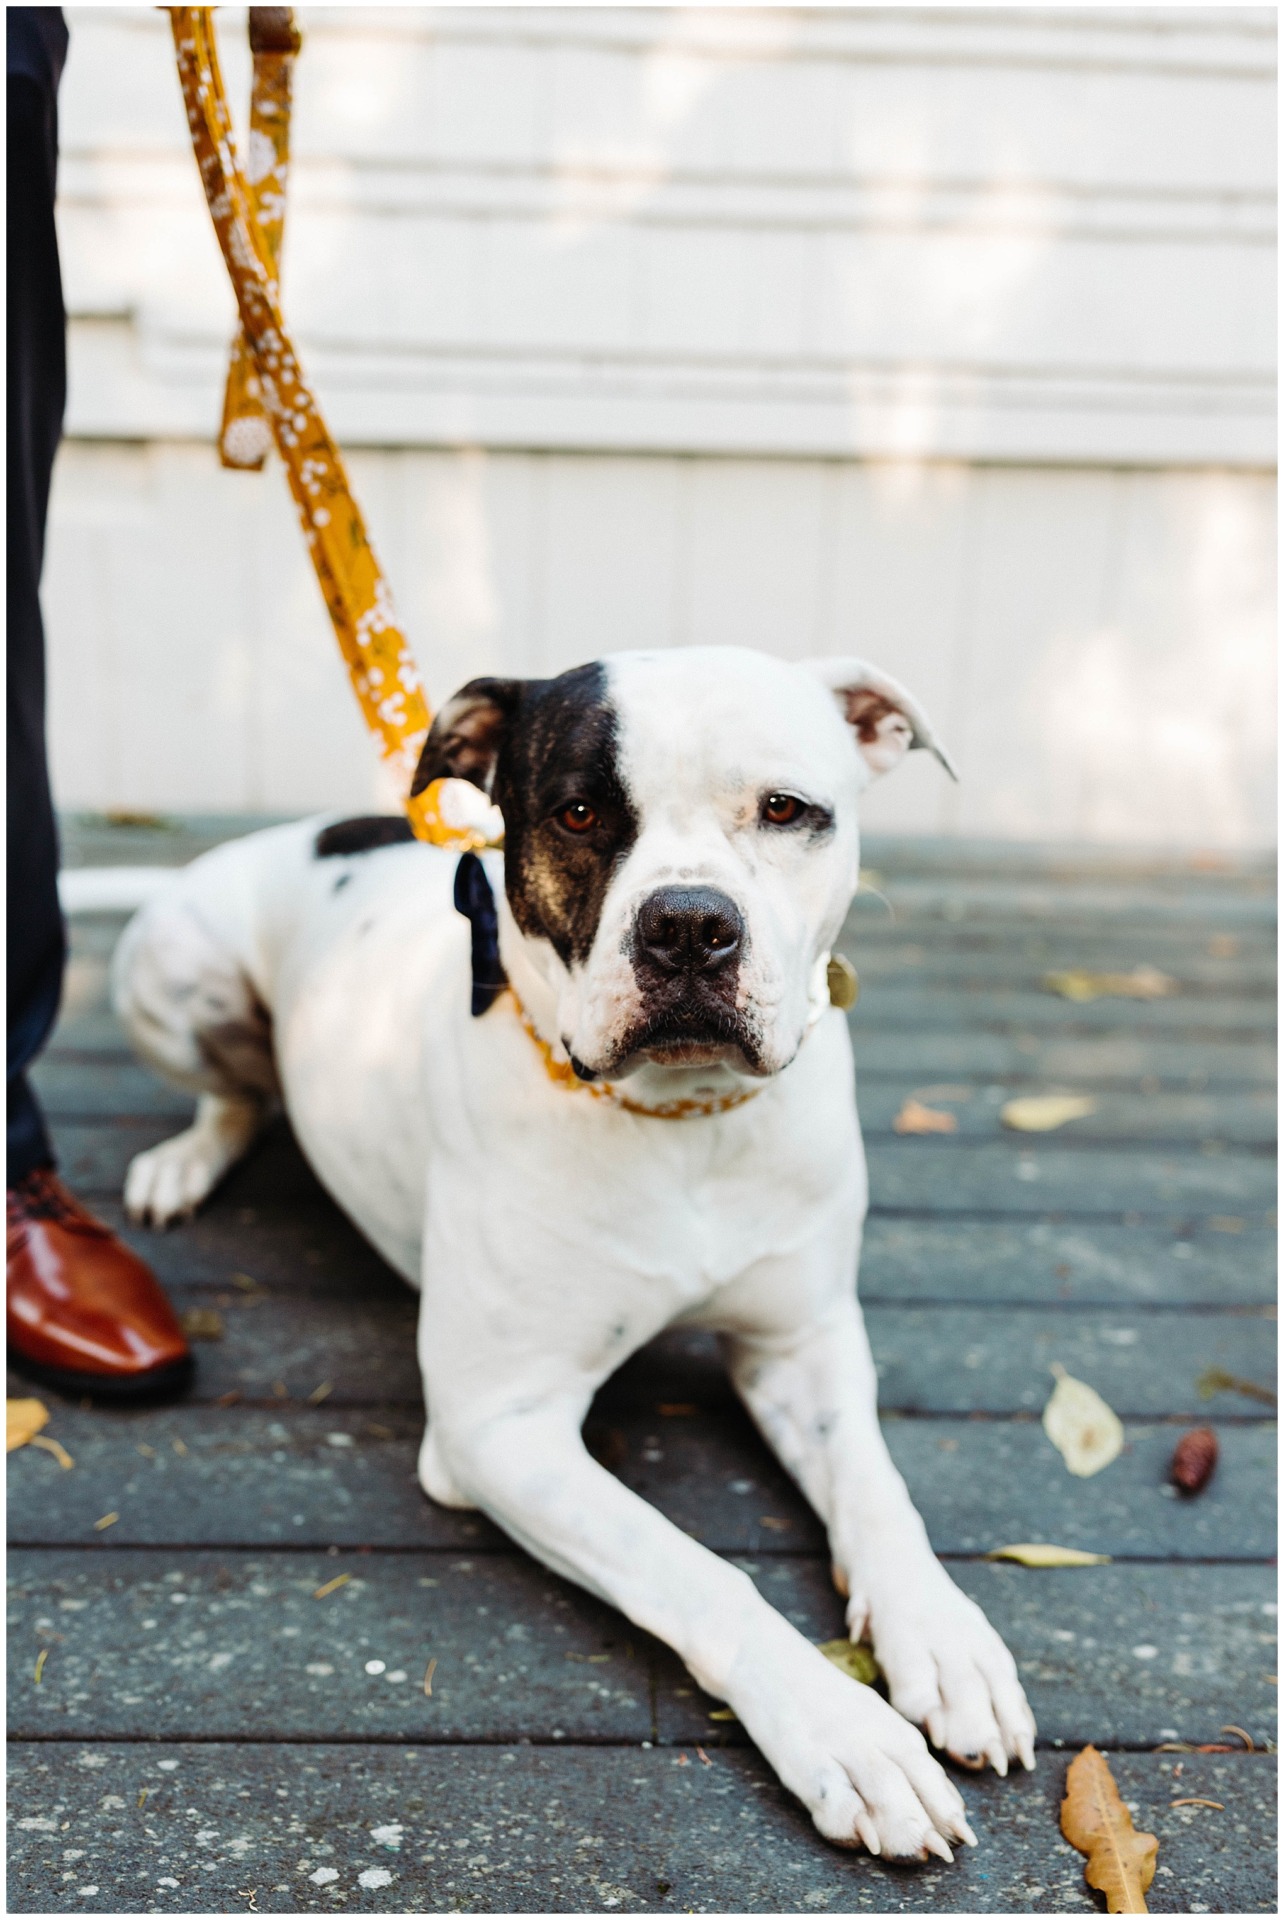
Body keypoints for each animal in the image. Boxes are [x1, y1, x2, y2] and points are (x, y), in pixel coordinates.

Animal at [110, 645, 1028, 1858]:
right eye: (581, 813)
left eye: (786, 810)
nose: (688, 924)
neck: (685, 1121)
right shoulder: (499, 1429)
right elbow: (695, 1570)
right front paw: (845, 1732)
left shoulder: (805, 1344)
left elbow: (878, 1491)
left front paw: (945, 1639)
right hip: (171, 966)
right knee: (234, 1092)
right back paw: (185, 1161)